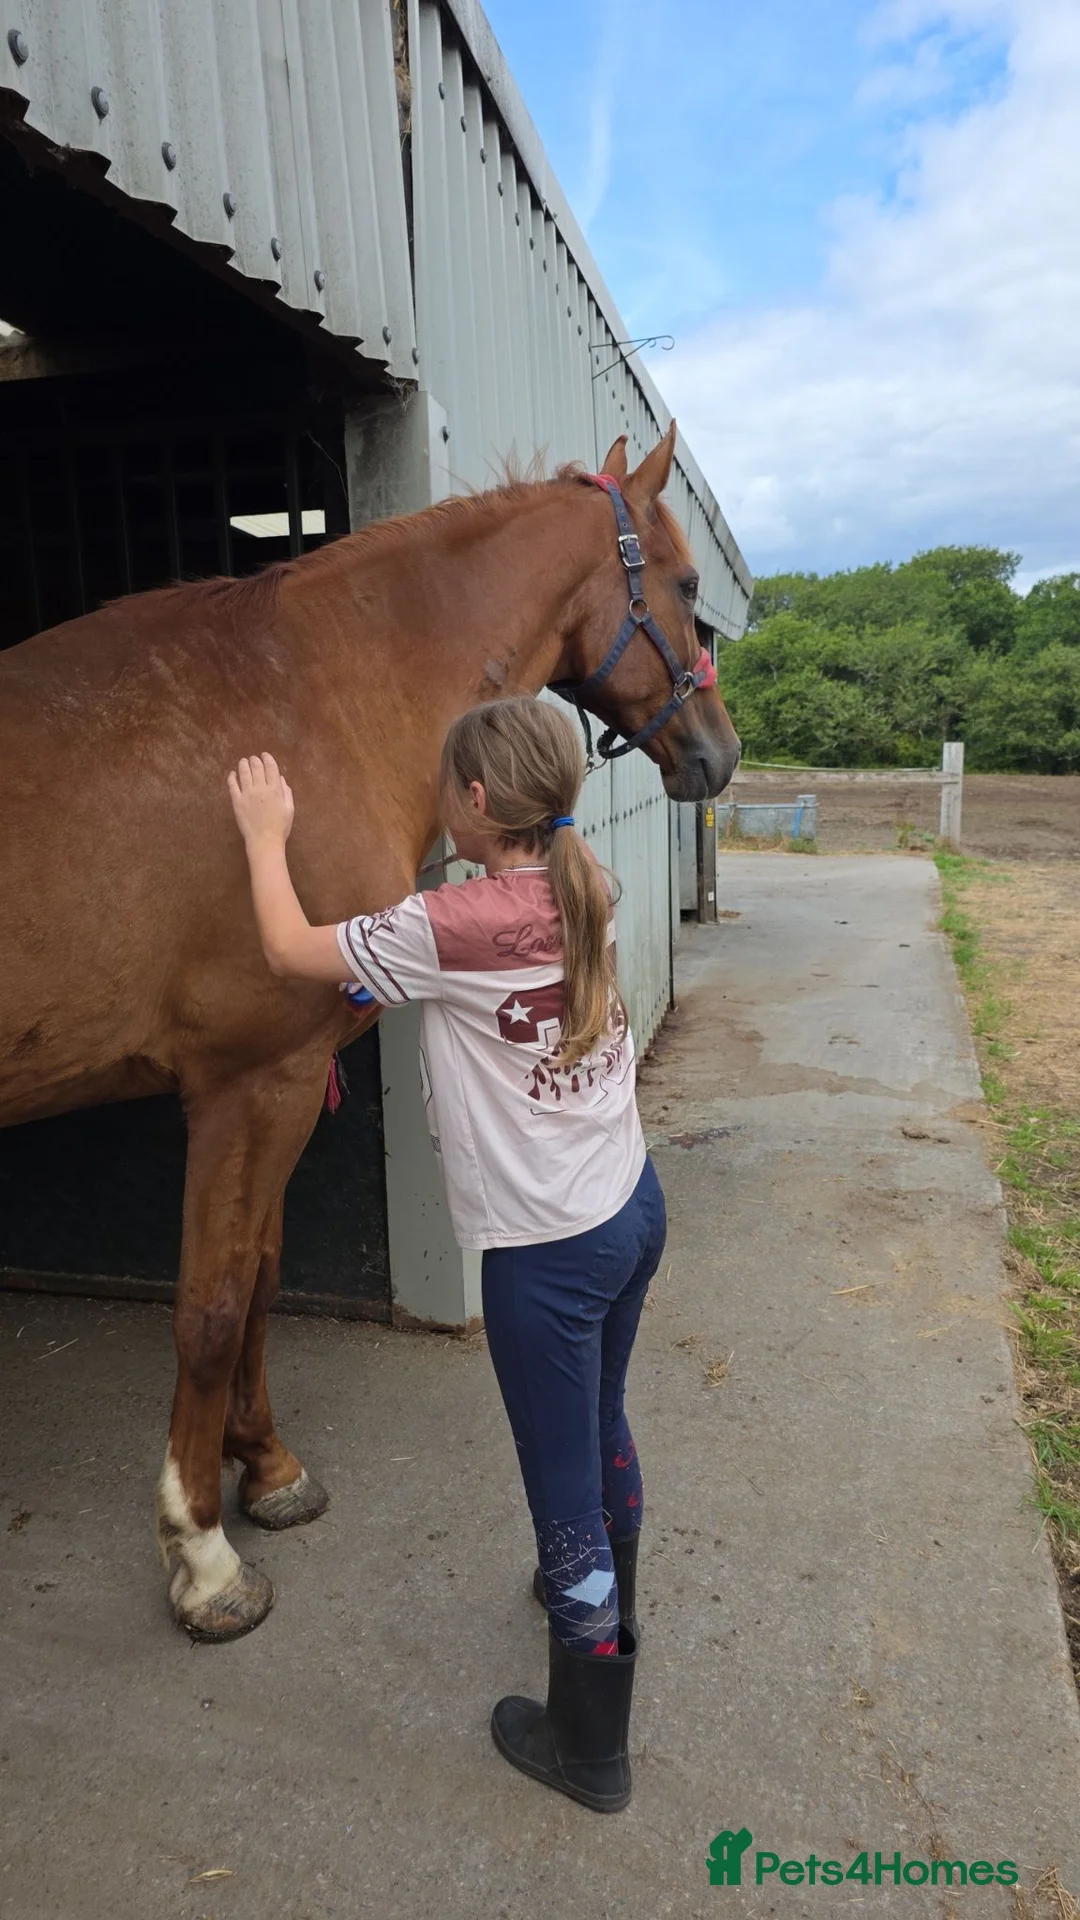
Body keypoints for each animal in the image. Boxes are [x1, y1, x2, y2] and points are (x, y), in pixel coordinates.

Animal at [0, 424, 740, 1641]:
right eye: (684, 589)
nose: (719, 757)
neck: (305, 700)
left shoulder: (284, 1087)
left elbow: (258, 1280)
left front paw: (268, 1471)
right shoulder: (252, 1084)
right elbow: (210, 1307)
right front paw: (204, 1554)